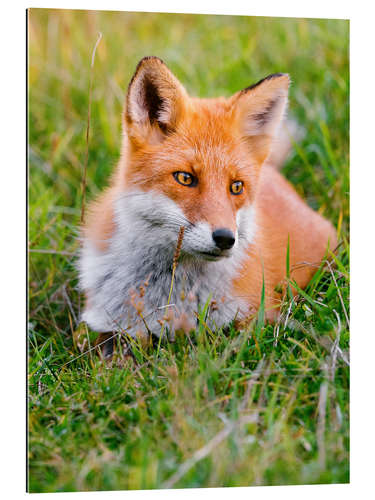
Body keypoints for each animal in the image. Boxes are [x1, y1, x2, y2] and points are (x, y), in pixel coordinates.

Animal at [78, 54, 338, 346]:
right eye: (185, 178)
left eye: (236, 187)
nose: (225, 238)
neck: (169, 293)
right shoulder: (106, 323)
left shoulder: (251, 319)